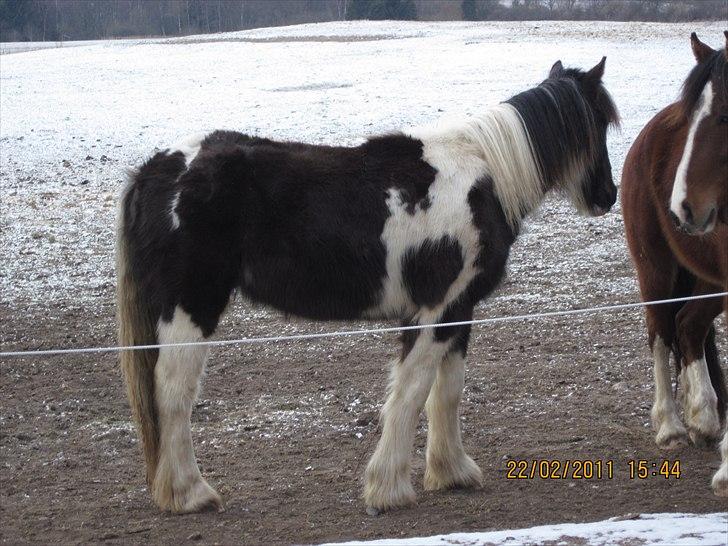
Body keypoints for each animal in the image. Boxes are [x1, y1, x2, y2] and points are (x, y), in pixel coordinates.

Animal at [119, 57, 620, 512]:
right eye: (599, 124)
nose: (608, 195)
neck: (482, 181)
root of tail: (155, 170)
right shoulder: (436, 309)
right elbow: (412, 390)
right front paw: (389, 488)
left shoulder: (461, 310)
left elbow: (448, 391)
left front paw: (452, 472)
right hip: (191, 306)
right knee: (174, 393)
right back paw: (190, 494)